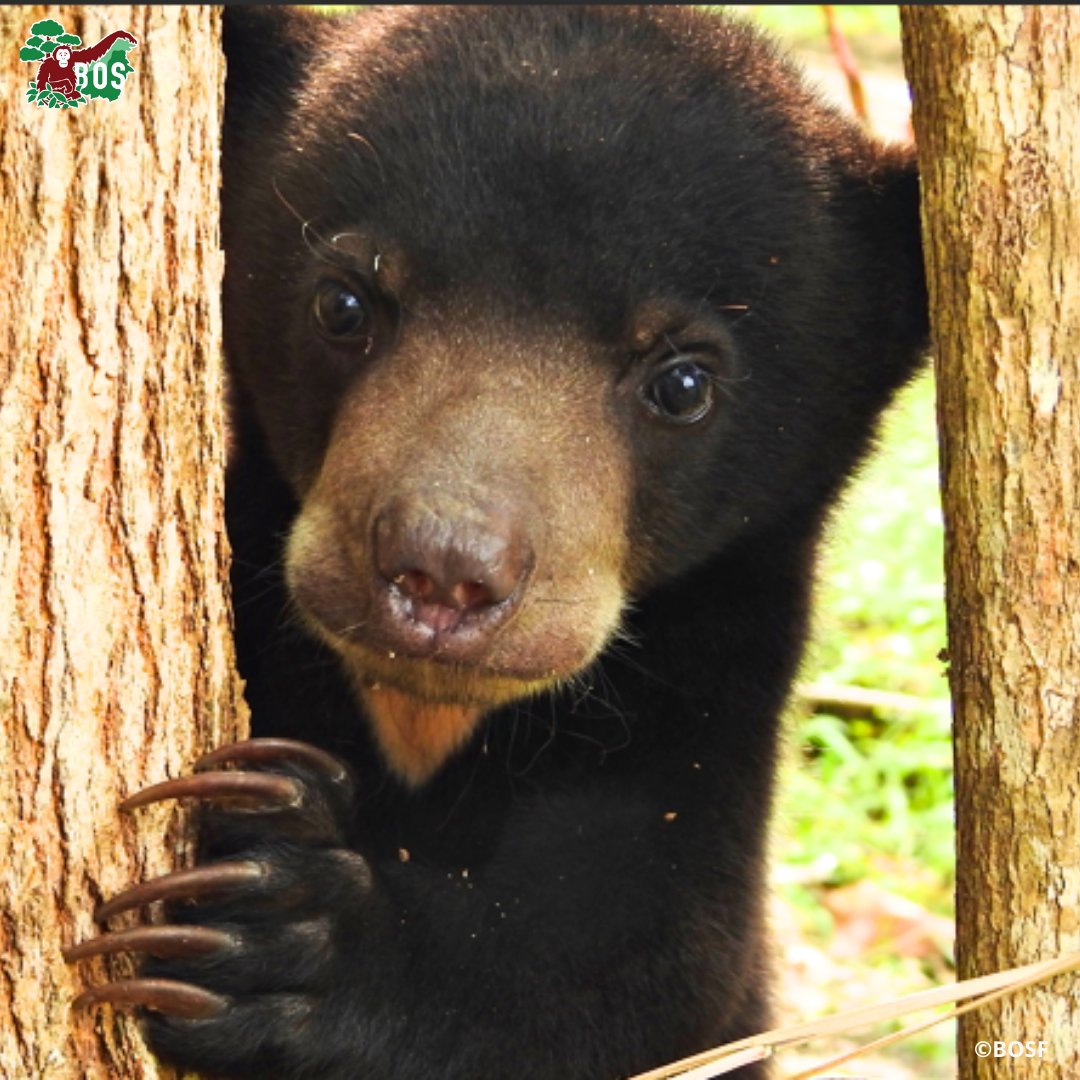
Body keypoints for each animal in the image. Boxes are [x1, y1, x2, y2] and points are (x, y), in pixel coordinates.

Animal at [67, 8, 928, 1080]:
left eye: (684, 383)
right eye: (344, 304)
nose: (443, 572)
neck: (424, 719)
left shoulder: (699, 714)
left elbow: (636, 965)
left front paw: (272, 922)